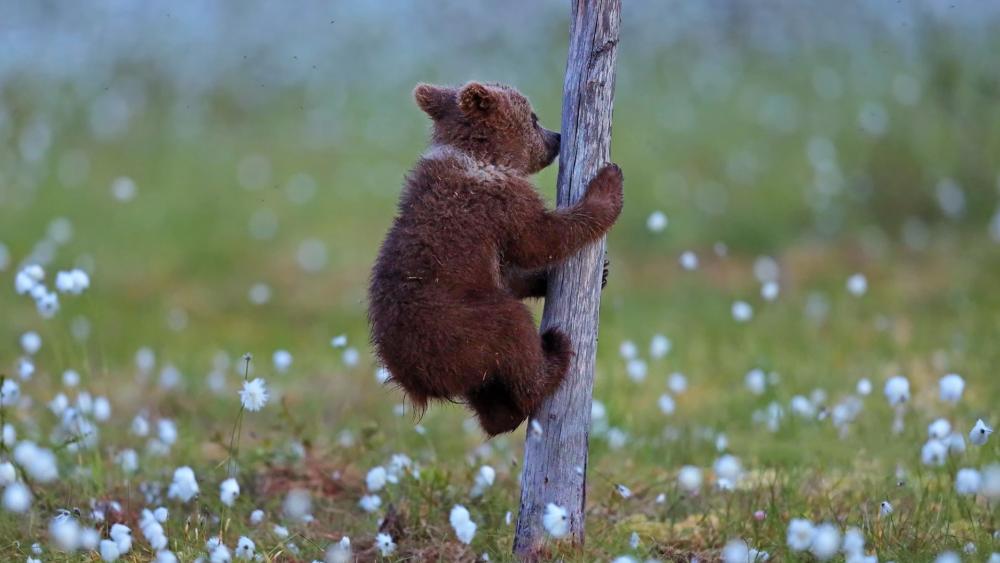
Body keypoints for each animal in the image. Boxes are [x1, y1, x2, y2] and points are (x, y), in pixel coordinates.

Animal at [367, 81, 624, 436]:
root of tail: (414, 382)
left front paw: (592, 274)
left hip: (465, 358)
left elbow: (512, 269)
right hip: (459, 327)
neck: (483, 157)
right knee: (513, 328)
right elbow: (541, 238)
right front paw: (608, 185)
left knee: (488, 392)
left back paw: (504, 414)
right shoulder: (498, 204)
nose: (557, 137)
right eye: (533, 117)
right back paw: (554, 355)